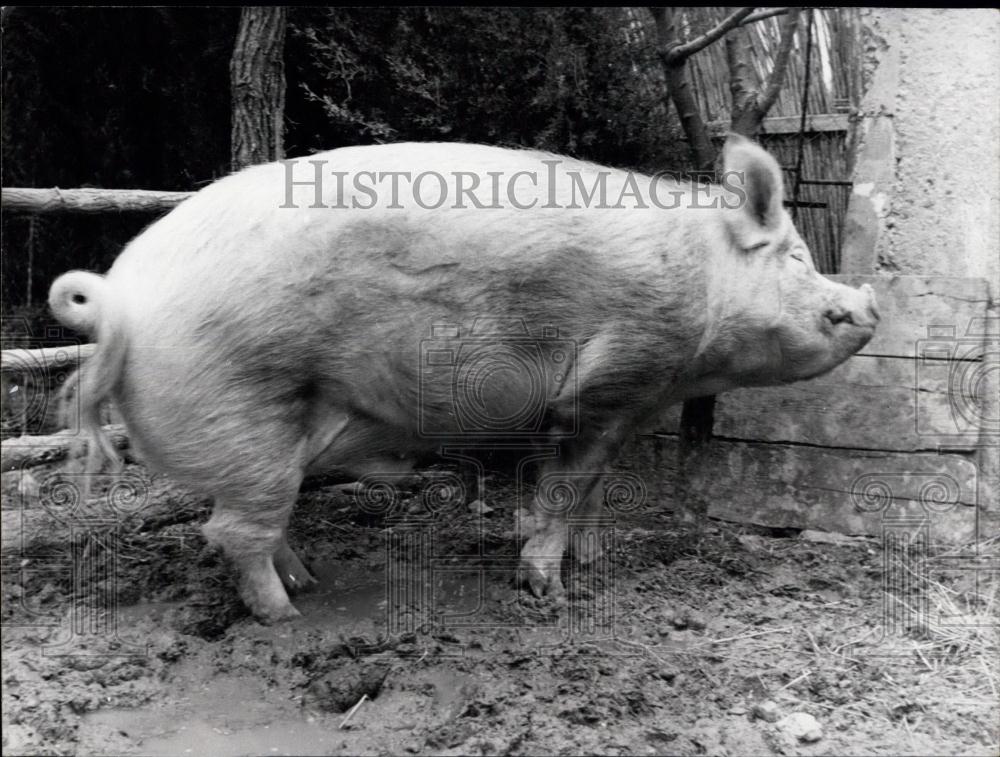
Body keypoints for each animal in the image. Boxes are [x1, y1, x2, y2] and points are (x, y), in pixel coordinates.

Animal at [48, 134, 876, 620]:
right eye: (799, 258)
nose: (868, 303)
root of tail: (119, 302)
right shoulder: (608, 381)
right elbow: (567, 486)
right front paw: (547, 592)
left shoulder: (623, 407)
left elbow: (589, 489)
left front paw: (593, 562)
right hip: (240, 411)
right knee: (231, 530)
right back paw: (287, 615)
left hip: (267, 436)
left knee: (252, 521)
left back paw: (307, 581)